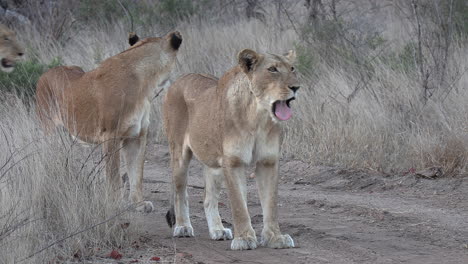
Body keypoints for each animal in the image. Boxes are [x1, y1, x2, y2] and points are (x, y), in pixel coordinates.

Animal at [36, 31, 183, 212]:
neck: (145, 84)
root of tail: (45, 73)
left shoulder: (136, 136)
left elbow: (137, 173)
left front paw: (139, 203)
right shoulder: (110, 135)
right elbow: (113, 173)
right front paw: (115, 203)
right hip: (49, 129)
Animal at [163, 49, 298, 250]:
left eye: (292, 68)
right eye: (272, 69)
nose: (296, 87)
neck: (258, 117)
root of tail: (178, 81)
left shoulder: (268, 161)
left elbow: (271, 204)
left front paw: (275, 238)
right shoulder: (233, 162)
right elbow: (238, 204)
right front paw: (244, 239)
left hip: (214, 164)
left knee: (208, 198)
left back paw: (218, 230)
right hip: (179, 153)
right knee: (180, 191)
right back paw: (183, 227)